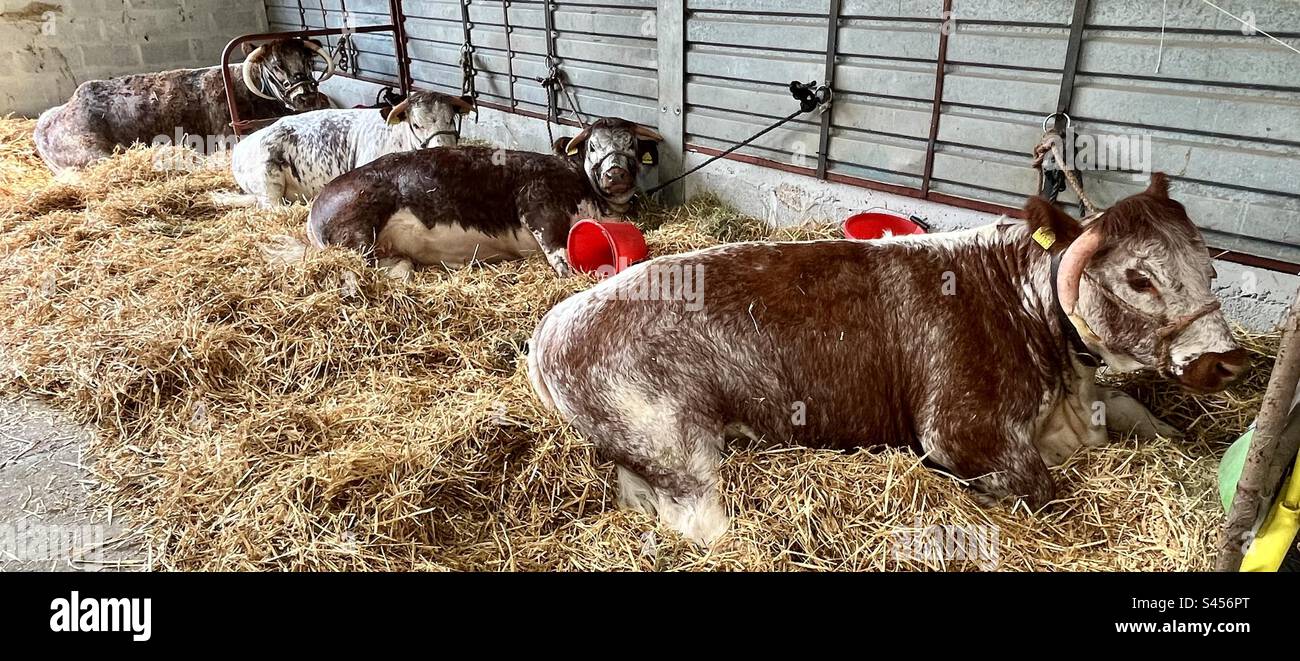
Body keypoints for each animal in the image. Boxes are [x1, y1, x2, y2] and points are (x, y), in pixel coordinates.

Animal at [309, 116, 665, 275]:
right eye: (593, 146)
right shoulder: (538, 201)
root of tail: (316, 207)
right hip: (357, 232)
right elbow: (559, 253)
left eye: (631, 145)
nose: (615, 172)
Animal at [527, 173, 1248, 543]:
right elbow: (1044, 487)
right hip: (676, 445)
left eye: (1210, 266)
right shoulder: (961, 427)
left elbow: (1149, 419)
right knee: (705, 527)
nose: (1225, 362)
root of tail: (554, 323)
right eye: (1138, 278)